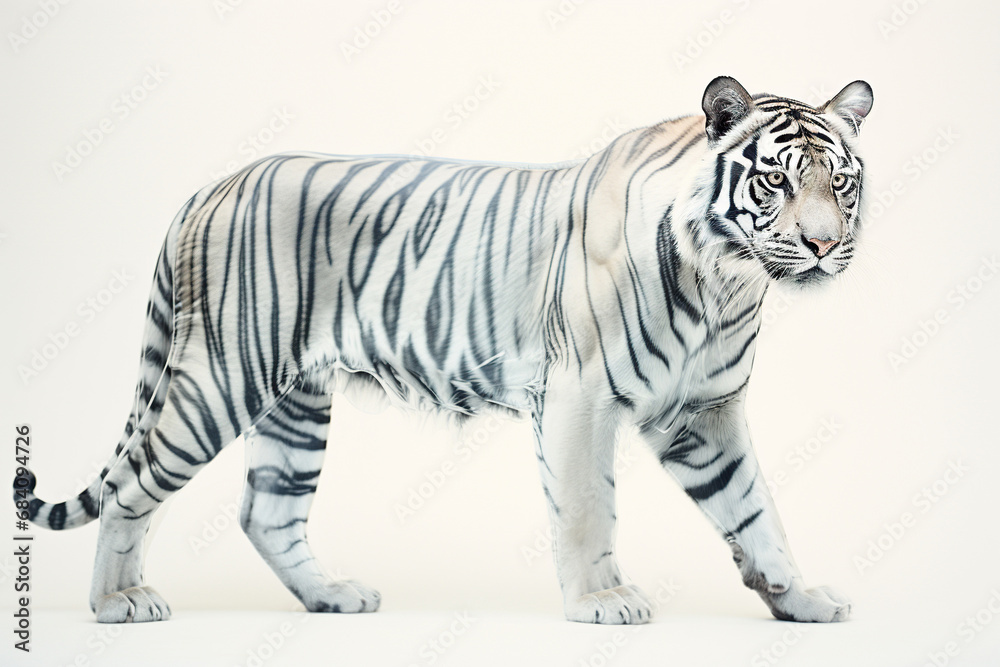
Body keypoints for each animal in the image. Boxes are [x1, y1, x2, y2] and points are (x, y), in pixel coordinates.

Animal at [15, 75, 873, 625]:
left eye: (840, 182)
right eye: (775, 181)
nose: (825, 245)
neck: (727, 281)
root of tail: (210, 187)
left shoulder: (704, 411)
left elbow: (756, 508)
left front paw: (801, 598)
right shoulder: (580, 394)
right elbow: (588, 508)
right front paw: (602, 602)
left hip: (296, 402)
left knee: (267, 511)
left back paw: (332, 596)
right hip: (218, 378)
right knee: (133, 489)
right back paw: (118, 603)